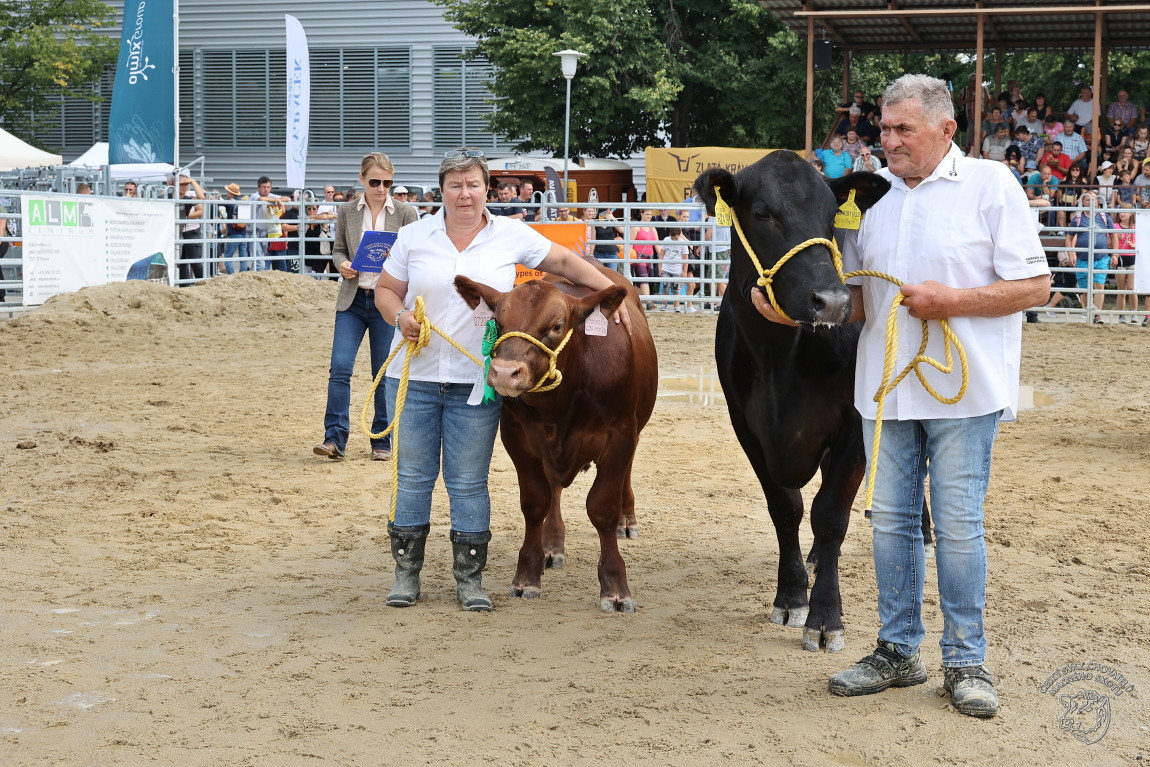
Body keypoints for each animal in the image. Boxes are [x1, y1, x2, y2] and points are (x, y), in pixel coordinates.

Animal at [690, 154, 887, 653]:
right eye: (763, 213)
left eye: (832, 215)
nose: (832, 301)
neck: (780, 357)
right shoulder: (747, 427)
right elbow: (787, 509)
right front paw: (792, 595)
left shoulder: (853, 424)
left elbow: (830, 514)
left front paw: (825, 617)